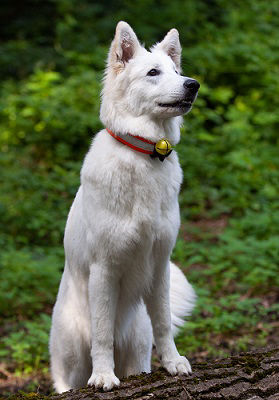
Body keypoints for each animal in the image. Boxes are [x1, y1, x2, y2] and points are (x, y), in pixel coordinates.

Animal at [49, 20, 199, 392]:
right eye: (153, 72)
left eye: (177, 72)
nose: (193, 85)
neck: (144, 155)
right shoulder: (105, 268)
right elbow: (102, 332)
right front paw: (103, 375)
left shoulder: (159, 264)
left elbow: (164, 323)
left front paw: (173, 362)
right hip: (70, 354)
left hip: (137, 344)